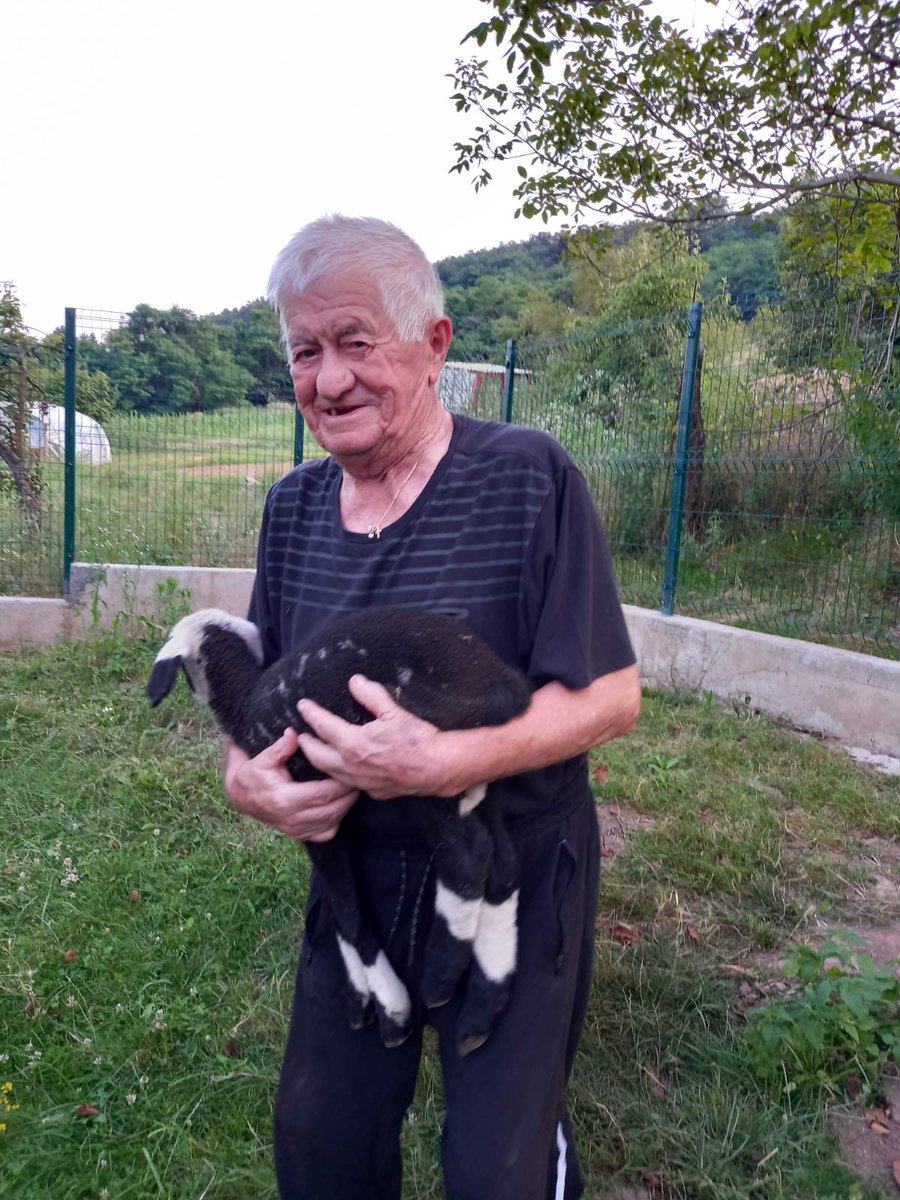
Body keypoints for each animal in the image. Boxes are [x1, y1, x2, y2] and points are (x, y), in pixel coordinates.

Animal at [144, 604, 532, 1056]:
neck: (246, 699)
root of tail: (503, 685)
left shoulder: (310, 807)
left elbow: (347, 907)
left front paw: (391, 1008)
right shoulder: (327, 817)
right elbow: (338, 902)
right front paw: (359, 997)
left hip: (424, 767)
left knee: (467, 859)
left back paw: (439, 974)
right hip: (485, 772)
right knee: (503, 863)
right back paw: (484, 1005)